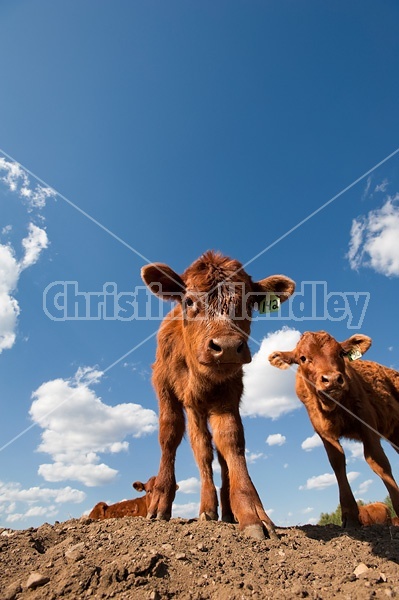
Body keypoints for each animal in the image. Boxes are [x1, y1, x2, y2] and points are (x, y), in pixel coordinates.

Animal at [142, 248, 296, 540]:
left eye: (249, 303)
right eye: (189, 301)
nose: (226, 347)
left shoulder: (228, 396)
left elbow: (231, 442)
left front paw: (251, 512)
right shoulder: (166, 389)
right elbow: (171, 436)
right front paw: (159, 502)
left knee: (220, 454)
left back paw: (226, 511)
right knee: (201, 448)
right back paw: (208, 508)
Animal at [268, 330, 399, 528]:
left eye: (340, 353)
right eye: (303, 358)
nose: (331, 380)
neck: (334, 407)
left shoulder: (366, 421)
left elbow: (378, 461)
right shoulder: (323, 432)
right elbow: (337, 462)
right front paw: (350, 515)